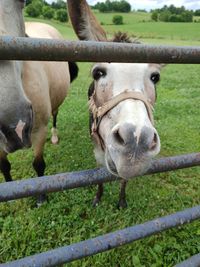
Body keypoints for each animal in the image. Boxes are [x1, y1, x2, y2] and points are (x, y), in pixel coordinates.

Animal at [0, 0, 78, 206]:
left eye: (21, 2)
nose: (15, 126)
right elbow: (4, 165)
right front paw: (9, 198)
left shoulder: (39, 129)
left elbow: (38, 164)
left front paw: (41, 198)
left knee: (55, 116)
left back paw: (55, 137)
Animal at [67, 0, 162, 208]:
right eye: (98, 73)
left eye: (155, 77)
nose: (136, 142)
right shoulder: (97, 146)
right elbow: (100, 173)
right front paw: (98, 197)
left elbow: (124, 179)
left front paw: (122, 201)